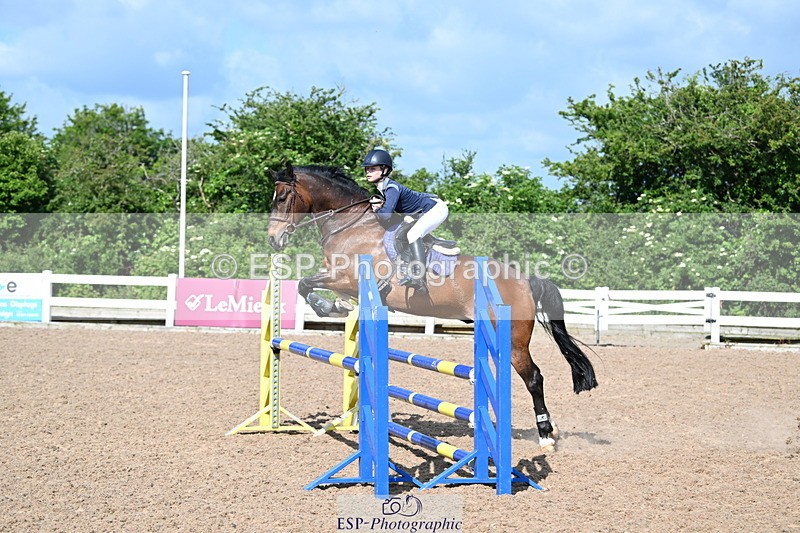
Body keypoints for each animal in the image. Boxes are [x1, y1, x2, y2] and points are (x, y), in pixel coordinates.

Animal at [267, 162, 598, 450]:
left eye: (282, 198)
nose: (273, 240)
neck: (351, 225)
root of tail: (524, 280)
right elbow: (307, 285)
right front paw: (335, 305)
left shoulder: (345, 277)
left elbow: (305, 284)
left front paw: (327, 306)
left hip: (514, 339)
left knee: (534, 378)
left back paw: (546, 436)